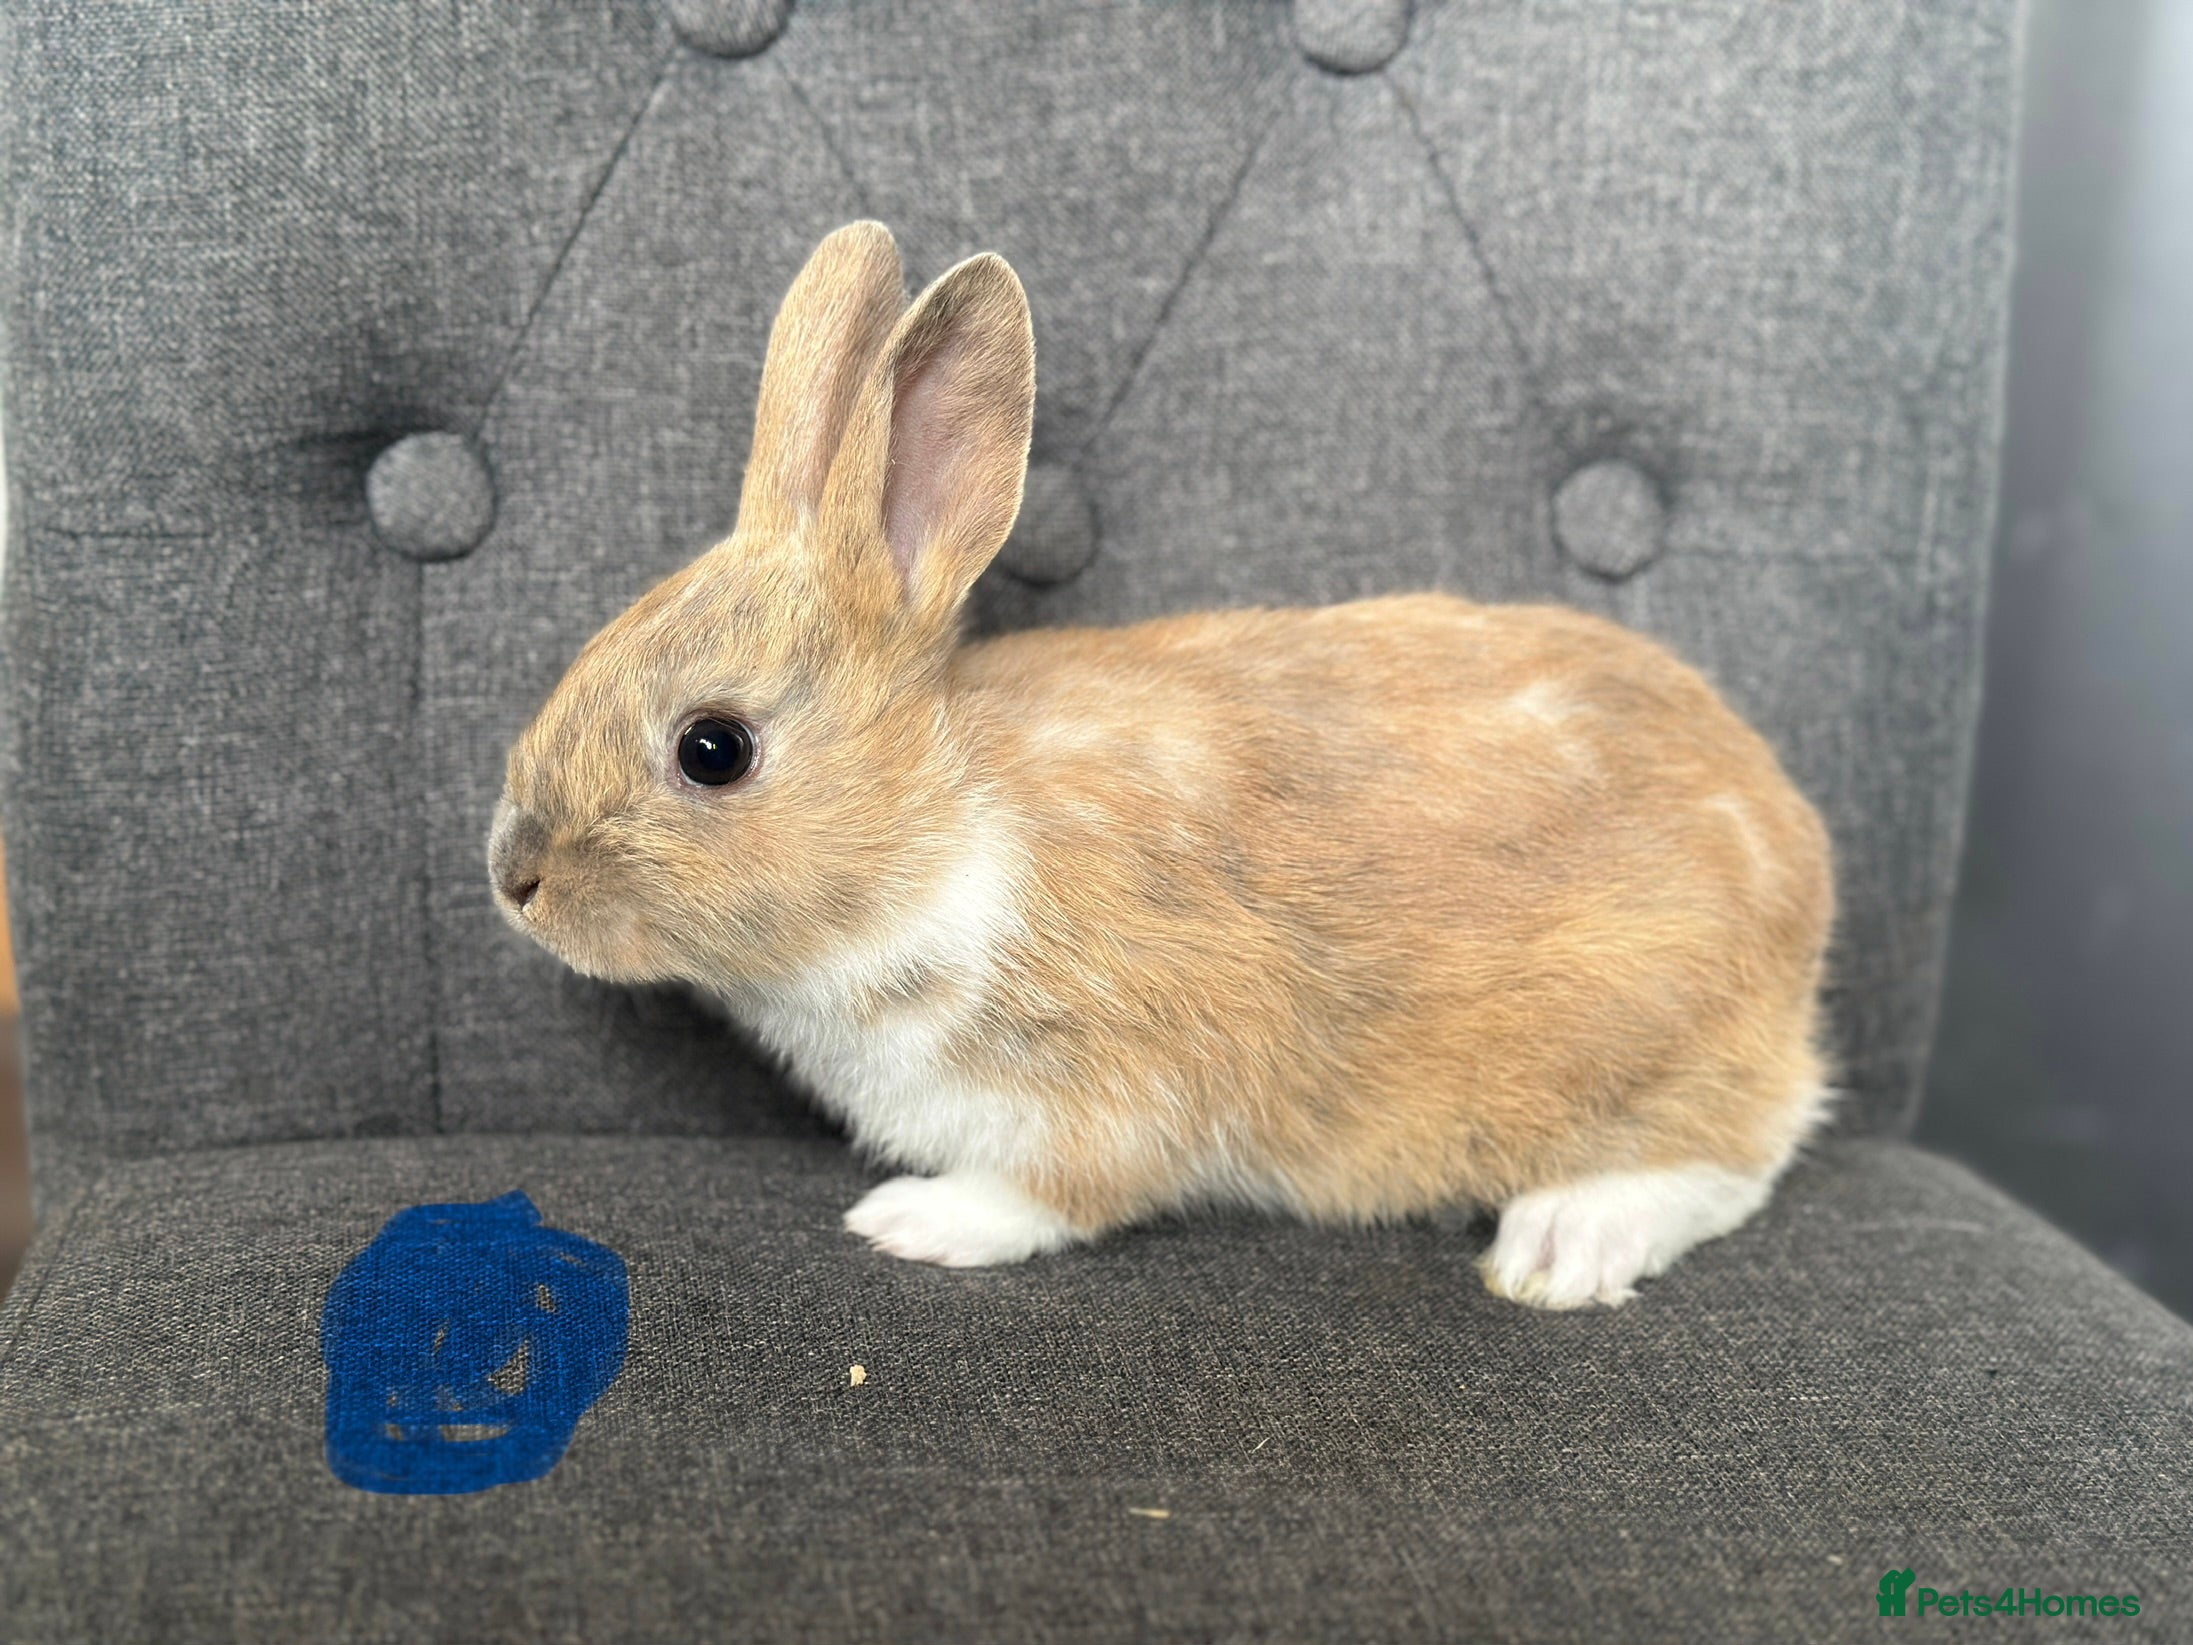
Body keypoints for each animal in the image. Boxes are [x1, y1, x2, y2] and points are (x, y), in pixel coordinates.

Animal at [488, 220, 1836, 1309]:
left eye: (712, 749)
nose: (515, 879)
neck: (938, 821)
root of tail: (1798, 856)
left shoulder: (1129, 1069)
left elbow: (1062, 1187)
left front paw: (914, 1220)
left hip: (1651, 1037)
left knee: (1738, 1153)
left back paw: (1564, 1245)